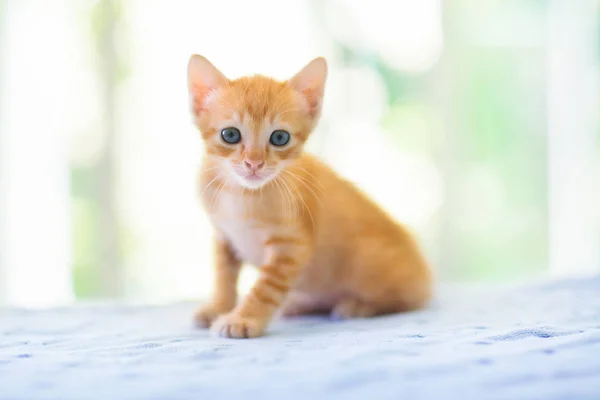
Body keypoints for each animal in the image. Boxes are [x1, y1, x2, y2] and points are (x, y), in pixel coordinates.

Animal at [188, 54, 432, 340]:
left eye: (279, 137)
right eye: (230, 134)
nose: (254, 164)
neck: (240, 193)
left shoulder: (292, 246)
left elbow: (265, 288)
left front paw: (243, 318)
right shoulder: (224, 236)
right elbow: (223, 277)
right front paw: (217, 307)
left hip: (369, 265)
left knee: (408, 300)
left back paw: (356, 306)